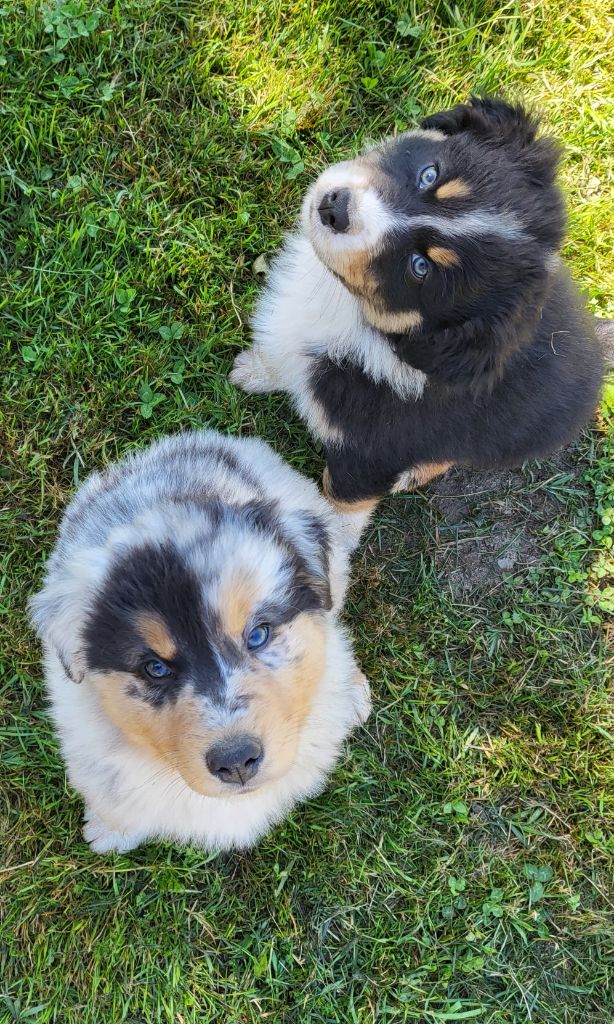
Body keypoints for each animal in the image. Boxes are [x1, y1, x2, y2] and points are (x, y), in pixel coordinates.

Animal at [231, 96, 604, 534]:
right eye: (430, 175)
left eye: (420, 267)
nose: (334, 207)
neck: (351, 309)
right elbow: (280, 354)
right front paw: (255, 371)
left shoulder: (373, 453)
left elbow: (340, 508)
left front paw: (324, 549)